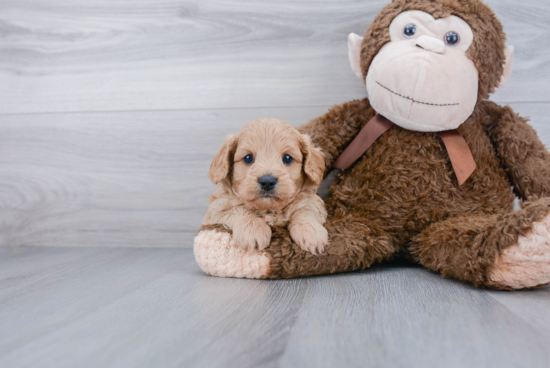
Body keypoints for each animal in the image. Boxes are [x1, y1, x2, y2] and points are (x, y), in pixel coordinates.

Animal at [205, 119, 330, 254]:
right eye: (248, 158)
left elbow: (304, 209)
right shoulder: (216, 207)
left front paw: (310, 232)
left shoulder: (315, 202)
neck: (269, 209)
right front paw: (253, 230)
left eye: (287, 158)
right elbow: (238, 209)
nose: (267, 181)